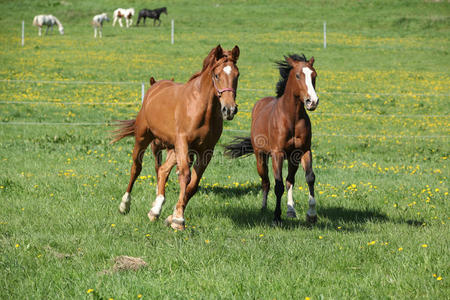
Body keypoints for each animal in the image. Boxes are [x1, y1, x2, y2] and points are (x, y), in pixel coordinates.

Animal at [111, 45, 241, 231]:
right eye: (217, 75)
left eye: (237, 75)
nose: (229, 109)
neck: (201, 109)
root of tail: (155, 87)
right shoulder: (183, 143)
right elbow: (185, 176)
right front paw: (179, 219)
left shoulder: (206, 151)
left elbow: (193, 184)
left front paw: (172, 216)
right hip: (144, 138)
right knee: (136, 168)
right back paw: (125, 205)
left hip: (173, 148)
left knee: (163, 170)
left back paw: (155, 209)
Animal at [223, 53, 318, 225]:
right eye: (298, 75)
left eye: (314, 75)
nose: (312, 101)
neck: (292, 118)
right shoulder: (277, 153)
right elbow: (278, 184)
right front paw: (276, 217)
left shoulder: (304, 151)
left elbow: (309, 178)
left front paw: (311, 215)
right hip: (261, 157)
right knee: (266, 182)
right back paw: (264, 207)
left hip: (293, 159)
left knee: (290, 181)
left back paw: (291, 210)